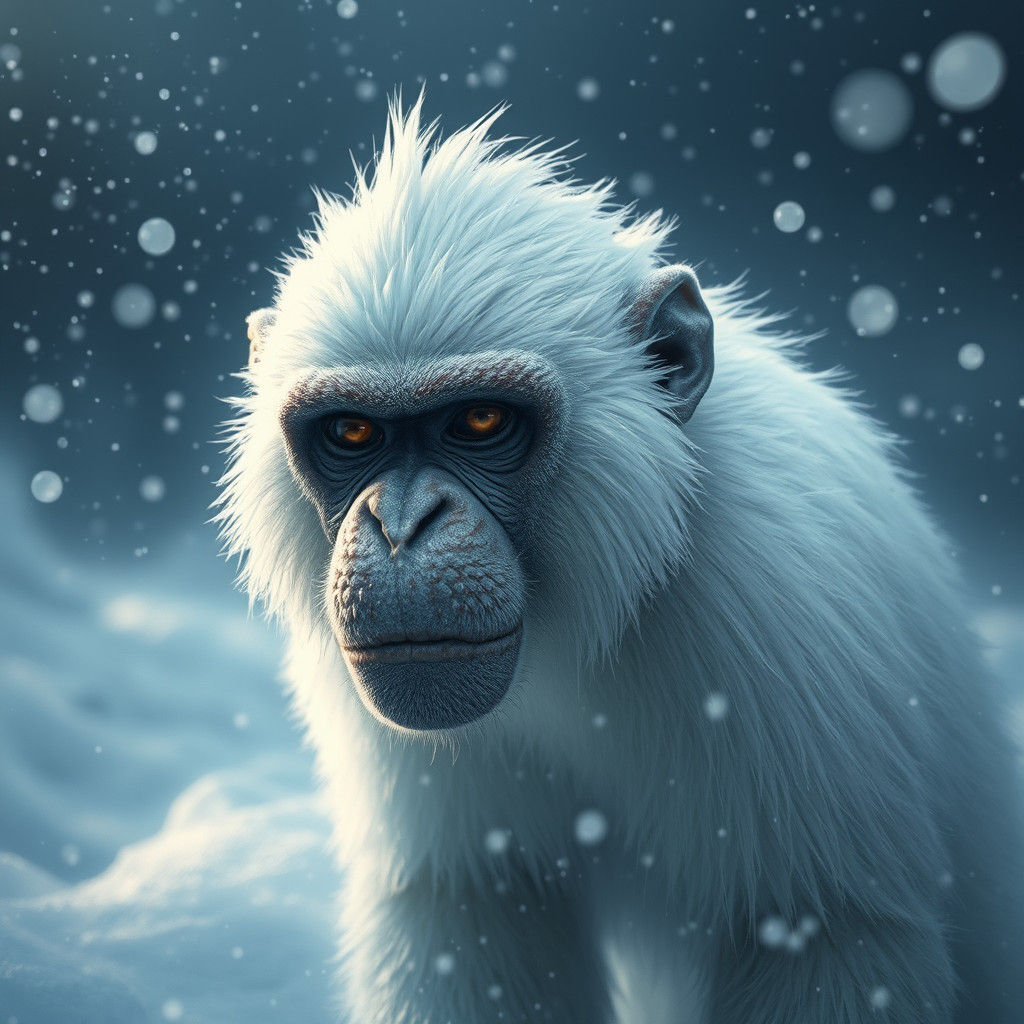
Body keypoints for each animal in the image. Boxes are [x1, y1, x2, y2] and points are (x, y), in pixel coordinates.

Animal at [216, 96, 1024, 1024]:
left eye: (481, 422)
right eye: (352, 433)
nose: (403, 524)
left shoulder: (782, 603)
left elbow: (828, 936)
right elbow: (476, 917)